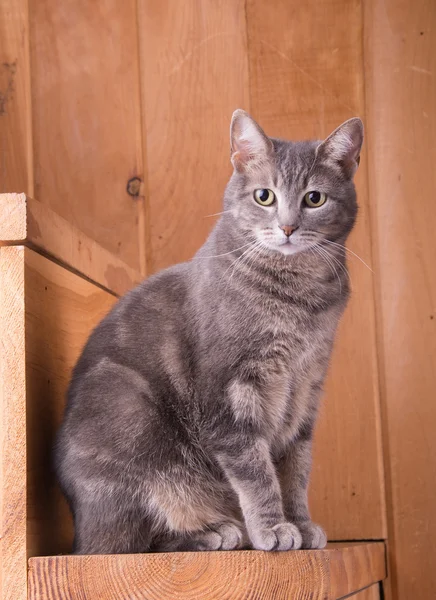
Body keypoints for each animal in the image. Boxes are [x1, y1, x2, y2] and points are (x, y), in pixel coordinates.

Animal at [54, 109, 362, 552]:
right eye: (264, 196)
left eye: (314, 198)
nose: (287, 228)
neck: (297, 299)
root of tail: (81, 525)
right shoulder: (230, 392)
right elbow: (256, 471)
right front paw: (272, 528)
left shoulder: (306, 390)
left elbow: (295, 470)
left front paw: (301, 524)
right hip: (132, 417)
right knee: (135, 539)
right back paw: (215, 531)